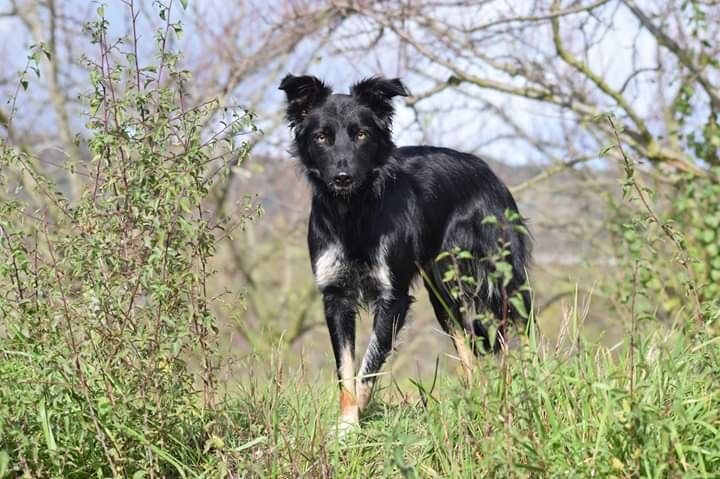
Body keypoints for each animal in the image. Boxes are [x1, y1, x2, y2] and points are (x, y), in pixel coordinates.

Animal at [278, 75, 532, 436]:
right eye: (322, 137)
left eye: (361, 134)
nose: (342, 177)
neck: (353, 214)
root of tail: (487, 169)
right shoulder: (336, 296)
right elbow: (346, 370)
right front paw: (347, 425)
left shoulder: (392, 297)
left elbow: (367, 367)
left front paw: (353, 428)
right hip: (443, 294)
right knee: (467, 349)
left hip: (495, 278)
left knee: (521, 326)